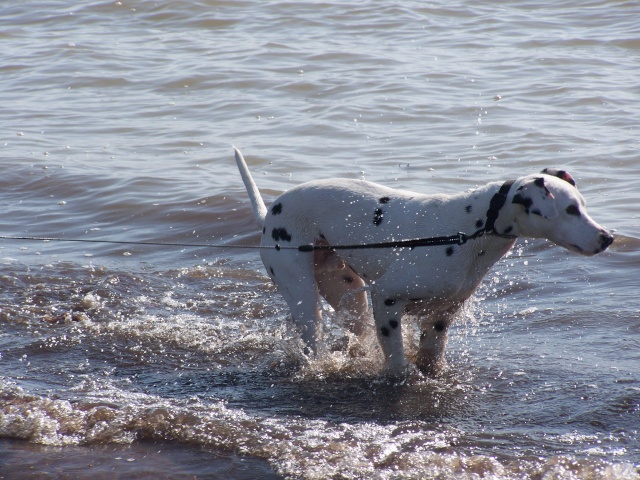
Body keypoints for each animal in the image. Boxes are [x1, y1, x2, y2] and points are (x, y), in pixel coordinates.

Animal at [232, 147, 612, 376]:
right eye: (570, 209)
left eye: (582, 205)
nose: (607, 237)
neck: (469, 232)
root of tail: (270, 213)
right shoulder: (386, 300)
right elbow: (397, 360)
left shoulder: (441, 317)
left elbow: (430, 356)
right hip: (304, 298)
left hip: (348, 294)